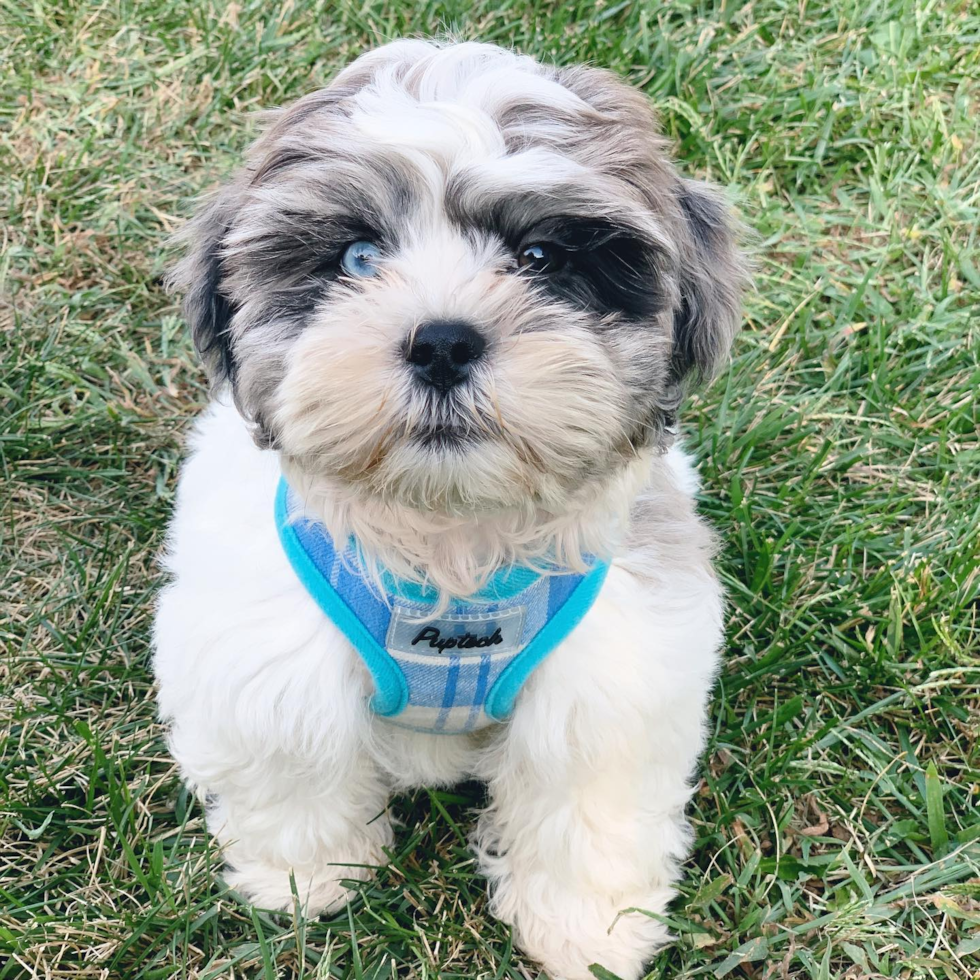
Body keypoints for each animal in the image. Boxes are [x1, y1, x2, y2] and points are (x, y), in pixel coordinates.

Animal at [153, 38, 748, 980]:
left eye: (540, 258)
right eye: (359, 257)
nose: (441, 341)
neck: (451, 539)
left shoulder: (613, 674)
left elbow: (586, 796)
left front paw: (588, 929)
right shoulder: (266, 657)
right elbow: (295, 762)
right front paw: (305, 880)